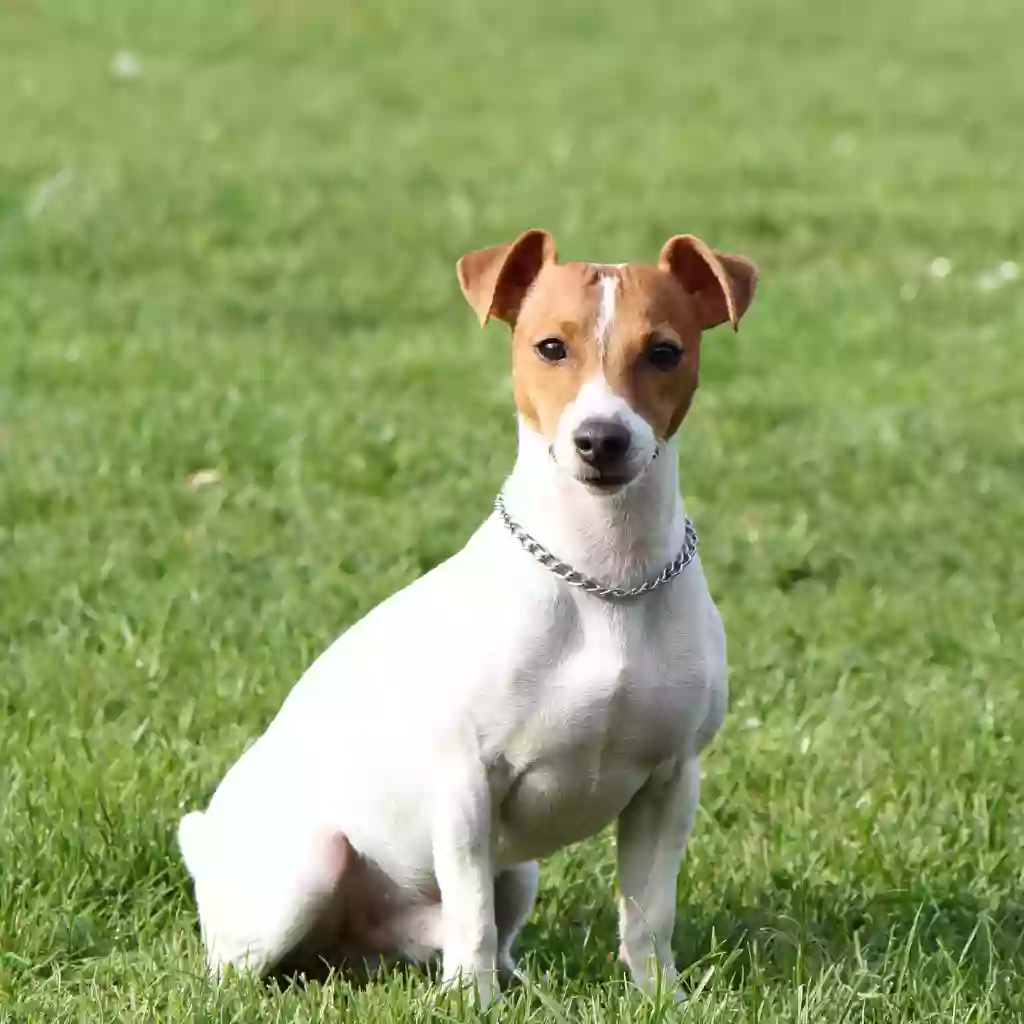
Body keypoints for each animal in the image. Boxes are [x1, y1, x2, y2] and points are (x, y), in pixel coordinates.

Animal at [178, 230, 753, 999]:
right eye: (550, 347)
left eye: (665, 351)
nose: (600, 439)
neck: (606, 579)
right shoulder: (465, 787)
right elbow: (471, 909)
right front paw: (473, 1003)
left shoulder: (670, 783)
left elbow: (647, 912)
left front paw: (659, 994)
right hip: (308, 869)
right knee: (250, 962)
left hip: (519, 873)